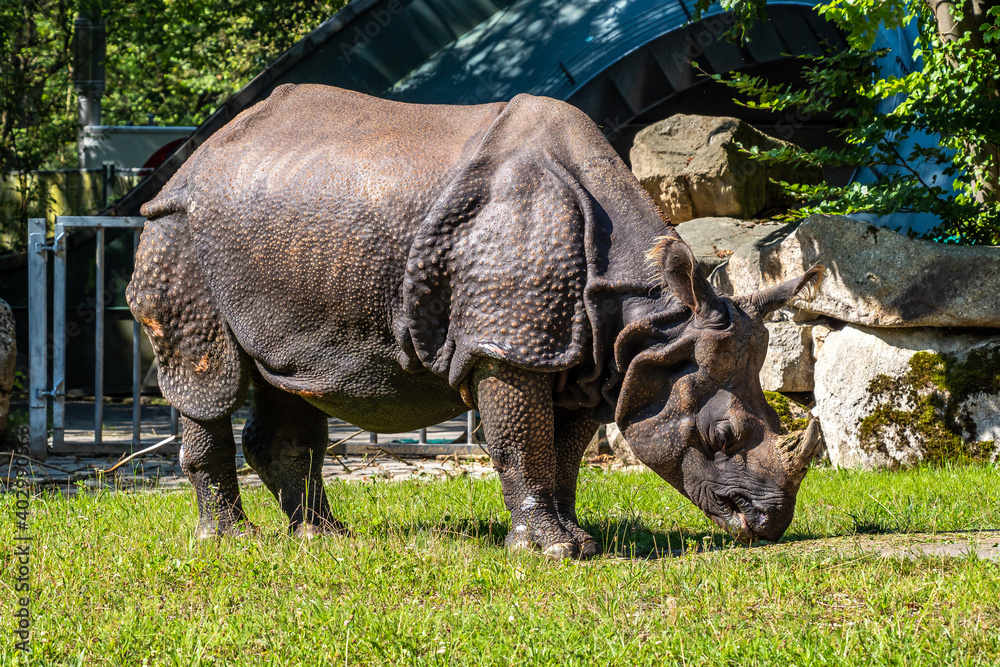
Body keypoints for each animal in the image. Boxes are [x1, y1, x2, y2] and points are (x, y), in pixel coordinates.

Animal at [127, 83, 823, 558]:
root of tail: (197, 155)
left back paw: (326, 538)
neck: (654, 318)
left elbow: (561, 450)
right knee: (210, 378)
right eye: (723, 435)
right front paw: (552, 552)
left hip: (277, 232)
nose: (770, 525)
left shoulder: (588, 357)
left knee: (287, 379)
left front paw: (577, 538)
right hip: (178, 230)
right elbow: (521, 441)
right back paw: (229, 541)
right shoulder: (508, 344)